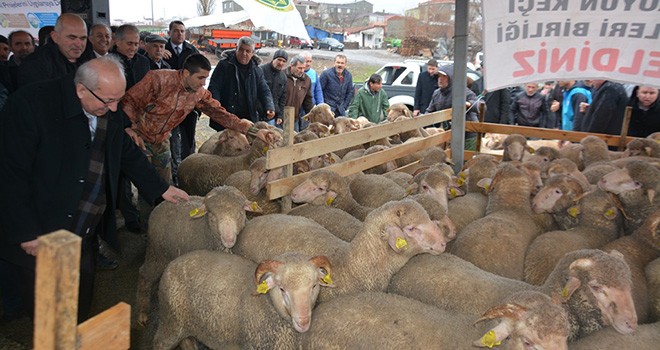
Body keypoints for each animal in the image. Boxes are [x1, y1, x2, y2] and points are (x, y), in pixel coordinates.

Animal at [135, 186, 260, 326]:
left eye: (240, 213)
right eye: (212, 216)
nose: (228, 240)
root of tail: (160, 205)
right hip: (156, 253)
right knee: (145, 274)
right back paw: (142, 312)